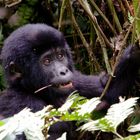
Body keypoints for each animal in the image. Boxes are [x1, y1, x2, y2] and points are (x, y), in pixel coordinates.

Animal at [0, 23, 140, 139]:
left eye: (60, 56)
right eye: (47, 61)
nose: (63, 71)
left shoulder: (75, 80)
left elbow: (106, 92)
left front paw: (133, 54)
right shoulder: (23, 104)